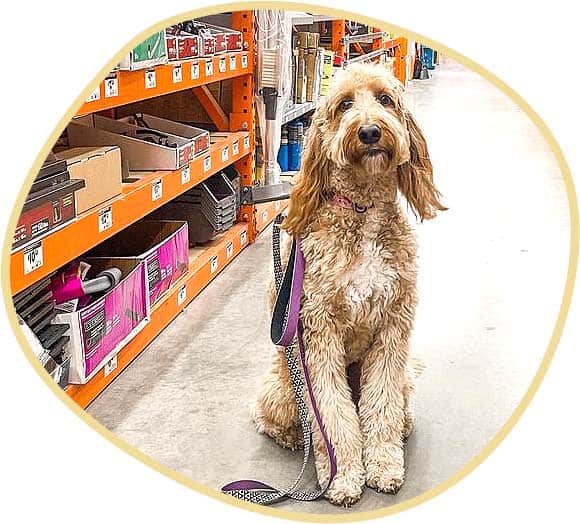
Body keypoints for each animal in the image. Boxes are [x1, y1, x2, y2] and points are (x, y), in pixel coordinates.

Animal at [251, 62, 446, 508]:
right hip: (282, 387)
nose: (371, 131)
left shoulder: (392, 331)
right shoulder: (318, 336)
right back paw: (294, 439)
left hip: (402, 375)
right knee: (269, 418)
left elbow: (382, 405)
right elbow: (333, 415)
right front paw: (341, 477)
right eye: (343, 105)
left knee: (395, 403)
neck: (362, 209)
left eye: (385, 99)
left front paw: (385, 465)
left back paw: (404, 424)